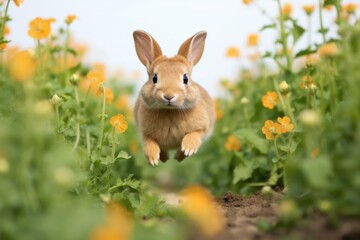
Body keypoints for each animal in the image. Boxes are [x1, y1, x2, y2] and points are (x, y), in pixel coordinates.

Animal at [133, 29, 215, 166]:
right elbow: (149, 143)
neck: (170, 111)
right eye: (154, 78)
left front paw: (187, 150)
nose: (169, 96)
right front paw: (154, 159)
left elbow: (194, 136)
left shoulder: (201, 128)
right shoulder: (144, 133)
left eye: (185, 79)